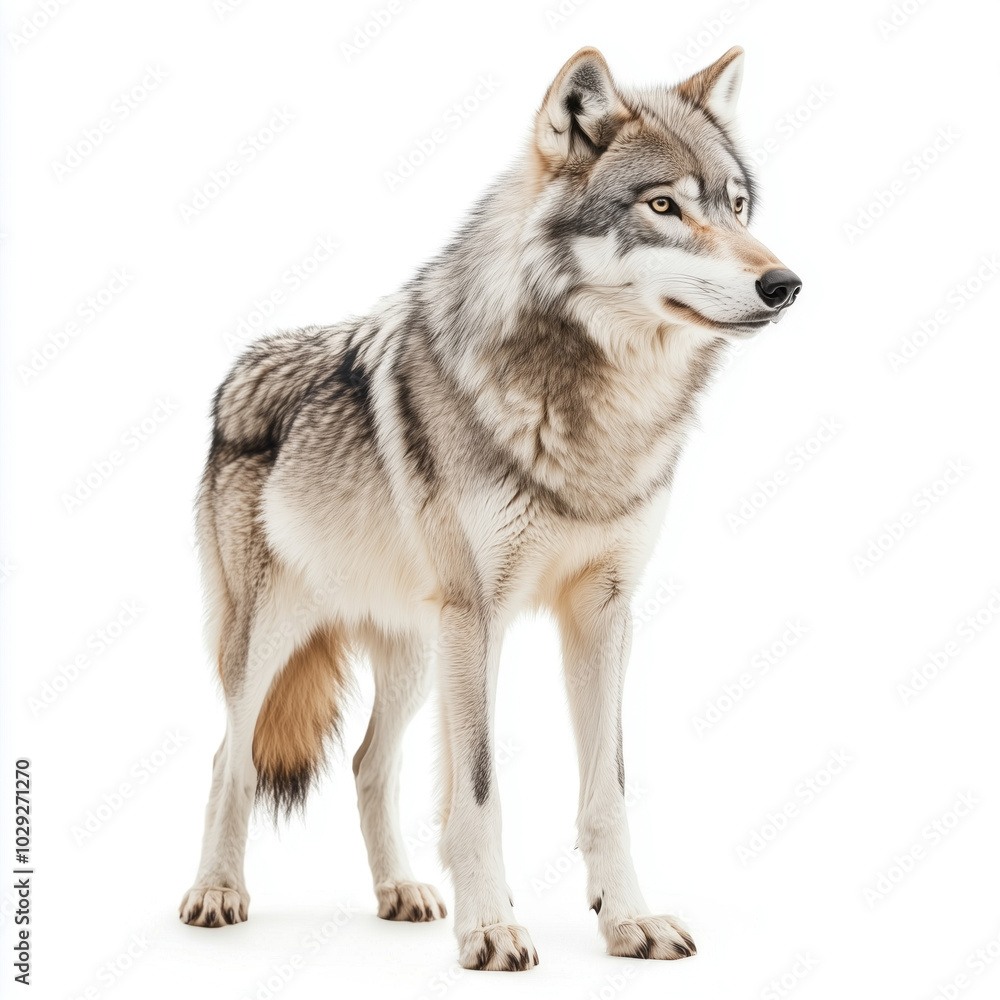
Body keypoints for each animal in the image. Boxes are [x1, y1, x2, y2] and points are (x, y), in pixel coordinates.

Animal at [179, 45, 801, 971]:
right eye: (662, 206)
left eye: (736, 205)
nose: (784, 283)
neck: (601, 414)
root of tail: (240, 370)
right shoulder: (479, 615)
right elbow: (477, 790)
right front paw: (492, 929)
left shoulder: (602, 611)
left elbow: (607, 790)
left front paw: (627, 920)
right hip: (275, 641)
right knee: (231, 756)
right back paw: (218, 892)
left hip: (414, 652)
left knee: (368, 763)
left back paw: (400, 892)